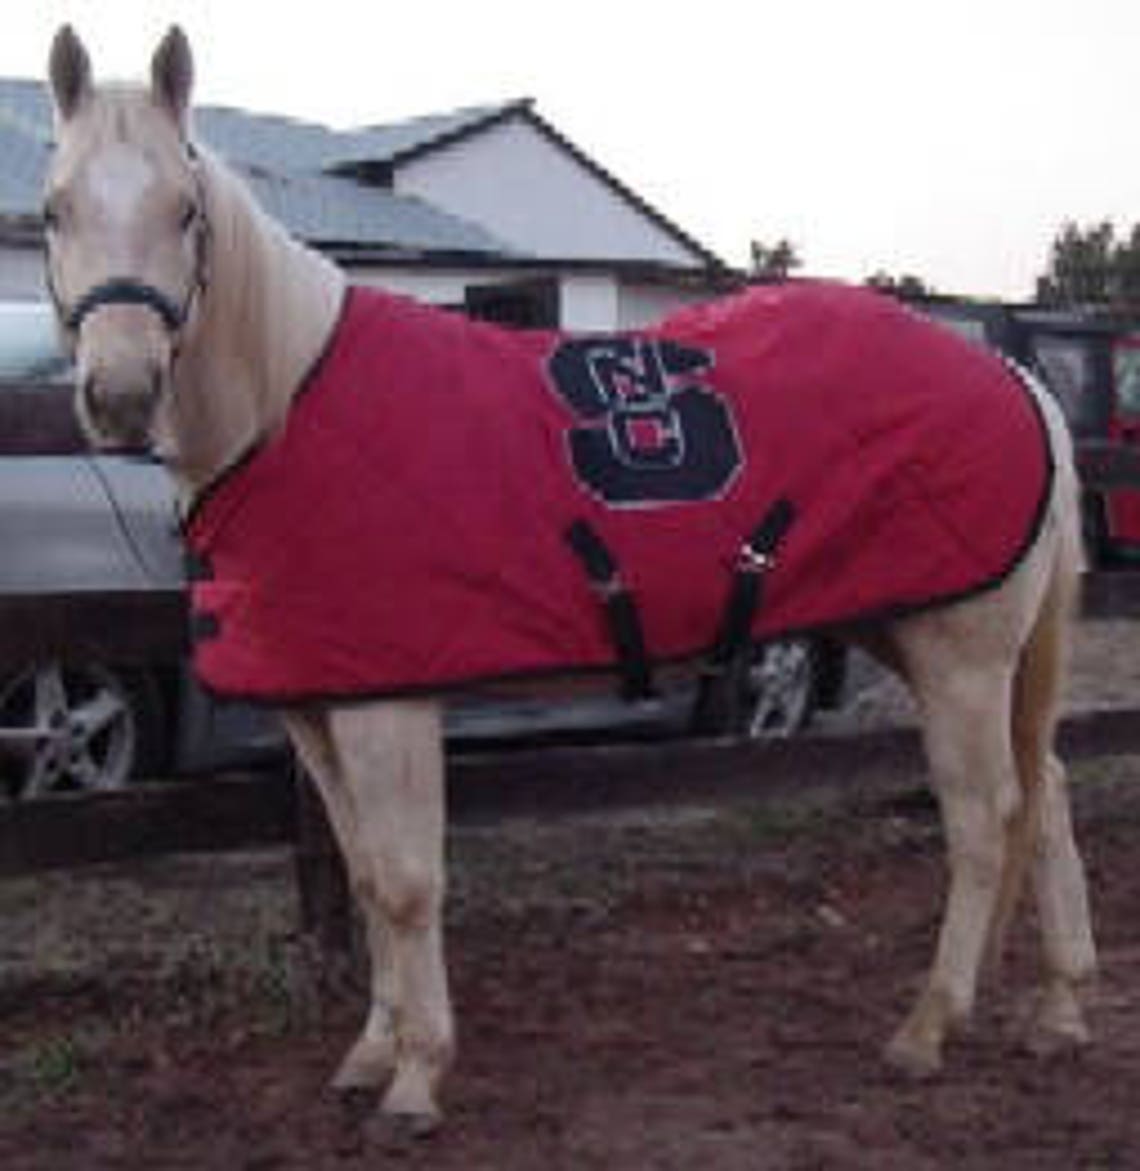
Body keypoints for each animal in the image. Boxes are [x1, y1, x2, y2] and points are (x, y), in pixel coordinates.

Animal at [43, 25, 1096, 1139]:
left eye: (185, 210)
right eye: (55, 209)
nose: (120, 395)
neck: (289, 401)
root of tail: (1015, 379)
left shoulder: (387, 705)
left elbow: (407, 882)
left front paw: (418, 1079)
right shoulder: (318, 710)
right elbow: (367, 878)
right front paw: (371, 1053)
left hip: (962, 658)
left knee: (983, 816)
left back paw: (929, 1024)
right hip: (925, 636)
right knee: (1044, 793)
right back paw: (1058, 1006)